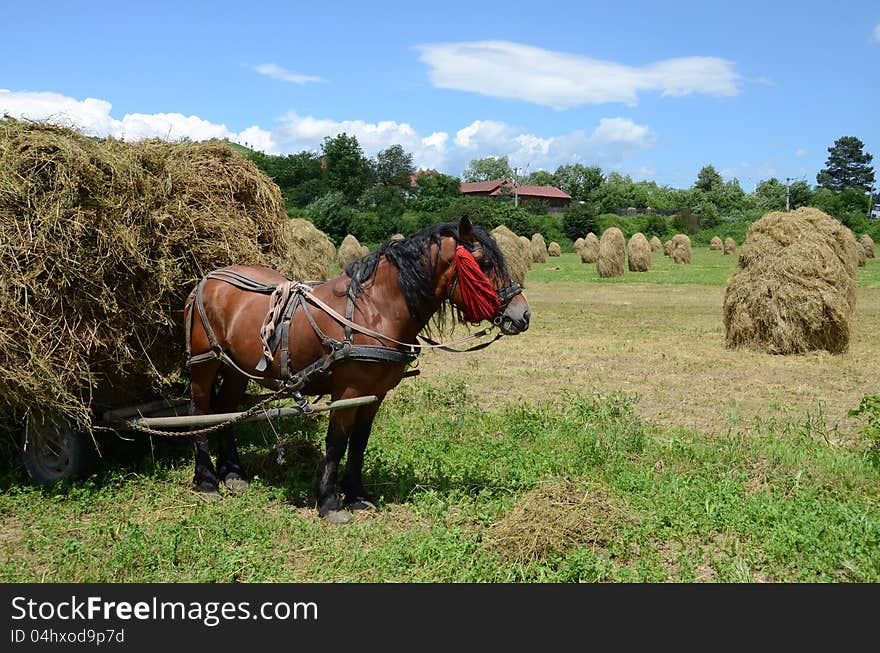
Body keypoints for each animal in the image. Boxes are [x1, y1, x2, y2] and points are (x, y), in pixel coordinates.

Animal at [182, 216, 528, 524]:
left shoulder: (374, 394)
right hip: (204, 364)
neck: (373, 311)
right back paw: (207, 480)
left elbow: (359, 442)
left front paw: (358, 494)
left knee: (225, 411)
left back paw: (233, 473)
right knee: (200, 413)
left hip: (237, 370)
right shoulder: (347, 391)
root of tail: (206, 280)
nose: (522, 315)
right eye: (485, 264)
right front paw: (330, 501)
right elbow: (336, 443)